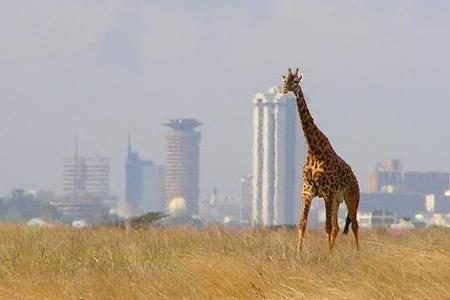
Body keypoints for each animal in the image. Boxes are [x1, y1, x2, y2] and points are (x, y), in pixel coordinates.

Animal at [280, 68, 360, 251]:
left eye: (296, 81)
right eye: (284, 80)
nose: (284, 89)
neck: (314, 150)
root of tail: (355, 178)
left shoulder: (327, 191)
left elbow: (327, 227)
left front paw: (327, 255)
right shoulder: (308, 191)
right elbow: (302, 223)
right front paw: (299, 253)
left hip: (351, 197)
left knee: (354, 225)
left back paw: (358, 253)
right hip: (337, 200)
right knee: (338, 226)